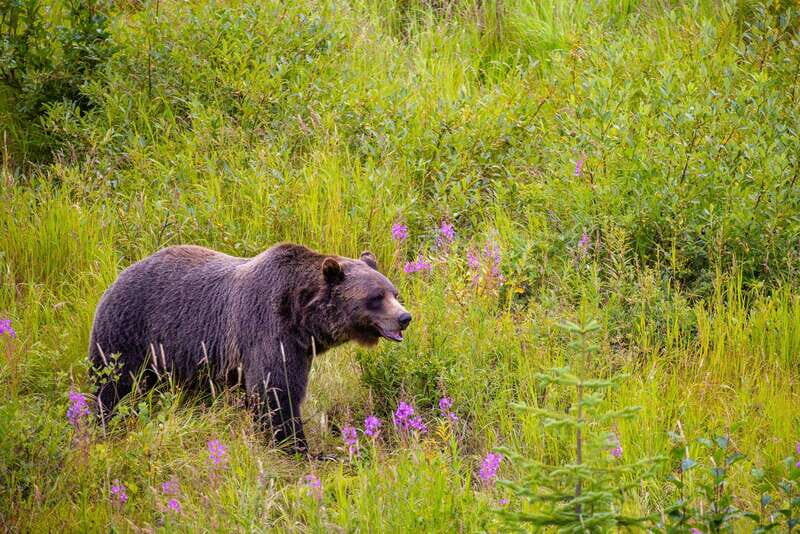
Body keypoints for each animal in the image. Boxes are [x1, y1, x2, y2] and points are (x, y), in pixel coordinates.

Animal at [88, 243, 412, 453]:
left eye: (394, 292)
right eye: (375, 297)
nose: (405, 317)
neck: (302, 318)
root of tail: (118, 277)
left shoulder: (298, 346)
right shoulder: (267, 329)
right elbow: (274, 391)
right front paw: (297, 447)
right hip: (129, 334)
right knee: (113, 387)